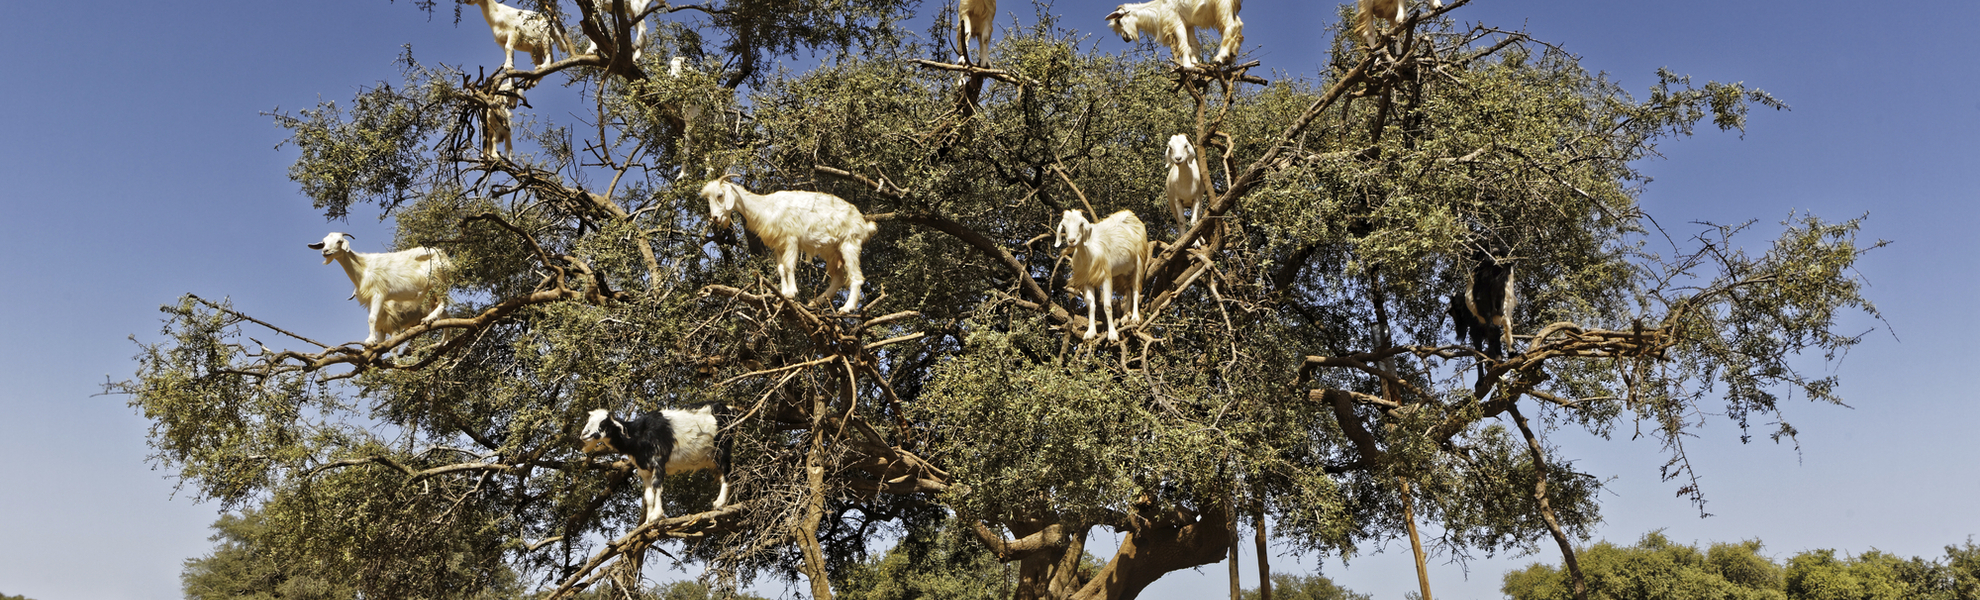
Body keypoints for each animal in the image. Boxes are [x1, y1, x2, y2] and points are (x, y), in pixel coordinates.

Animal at [308, 233, 453, 346]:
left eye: (339, 241)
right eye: (324, 242)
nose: (325, 251)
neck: (363, 267)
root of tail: (445, 256)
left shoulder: (378, 294)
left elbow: (372, 318)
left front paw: (370, 341)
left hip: (438, 281)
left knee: (444, 302)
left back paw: (430, 319)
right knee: (444, 313)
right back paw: (443, 341)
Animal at [580, 404, 734, 523]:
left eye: (603, 423)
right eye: (589, 420)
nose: (584, 434)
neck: (640, 434)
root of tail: (728, 409)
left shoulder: (658, 460)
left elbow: (657, 487)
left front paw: (656, 515)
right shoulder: (645, 470)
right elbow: (648, 496)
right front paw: (647, 521)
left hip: (722, 447)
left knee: (727, 472)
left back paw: (720, 503)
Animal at [702, 179, 879, 313]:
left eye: (720, 195)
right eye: (708, 199)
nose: (715, 218)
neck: (767, 206)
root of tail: (864, 225)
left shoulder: (791, 240)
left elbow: (789, 266)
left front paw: (791, 293)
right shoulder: (778, 246)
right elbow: (781, 269)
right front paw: (783, 293)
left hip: (849, 244)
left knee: (856, 277)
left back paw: (847, 308)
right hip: (832, 251)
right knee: (838, 278)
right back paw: (815, 302)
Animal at [1055, 209, 1151, 342]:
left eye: (1081, 224)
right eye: (1064, 226)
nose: (1072, 240)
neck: (1089, 253)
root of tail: (1130, 214)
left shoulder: (1106, 276)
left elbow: (1107, 306)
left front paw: (1112, 335)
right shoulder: (1087, 279)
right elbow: (1090, 305)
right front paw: (1090, 333)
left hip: (1139, 260)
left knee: (1136, 289)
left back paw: (1135, 318)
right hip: (1123, 271)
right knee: (1128, 290)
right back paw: (1124, 317)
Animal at [1104, 0, 1244, 69]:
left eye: (1118, 21)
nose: (1125, 38)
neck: (1159, 7)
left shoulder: (1177, 21)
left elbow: (1184, 44)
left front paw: (1187, 66)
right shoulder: (1189, 25)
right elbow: (1193, 45)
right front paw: (1195, 64)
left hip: (1223, 5)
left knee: (1231, 26)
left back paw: (1221, 57)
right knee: (1239, 26)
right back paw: (1231, 57)